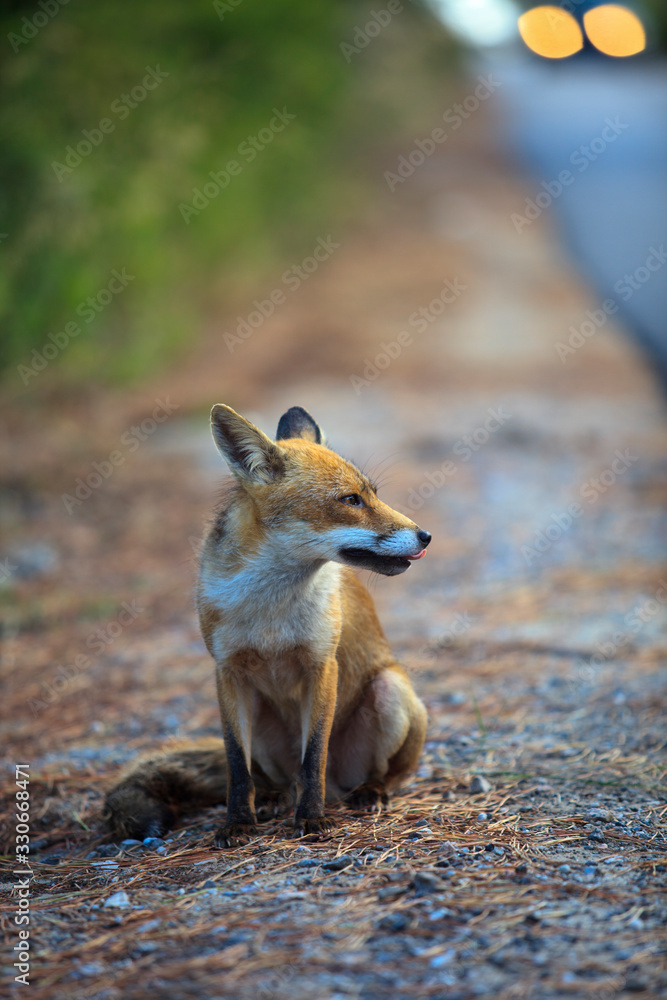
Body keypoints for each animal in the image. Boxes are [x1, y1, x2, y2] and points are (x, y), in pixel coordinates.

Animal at [105, 404, 431, 847]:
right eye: (351, 500)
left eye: (374, 495)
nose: (426, 536)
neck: (270, 611)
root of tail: (340, 786)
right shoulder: (227, 672)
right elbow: (236, 769)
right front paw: (237, 823)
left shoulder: (321, 665)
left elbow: (313, 758)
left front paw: (311, 818)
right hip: (260, 718)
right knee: (274, 778)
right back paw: (276, 797)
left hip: (390, 689)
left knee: (383, 774)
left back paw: (369, 790)